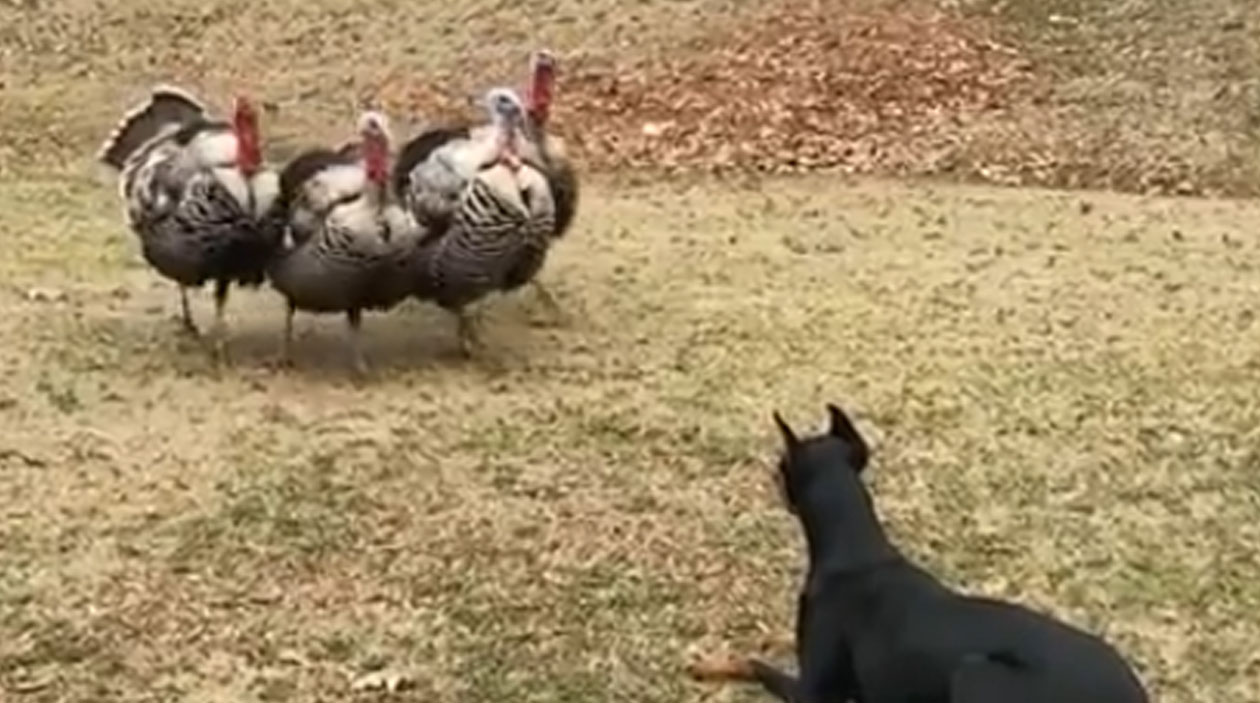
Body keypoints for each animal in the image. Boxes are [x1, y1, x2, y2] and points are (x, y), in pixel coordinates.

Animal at [745, 405, 1154, 703]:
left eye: (780, 467)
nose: (770, 476)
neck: (855, 551)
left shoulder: (812, 691)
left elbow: (754, 665)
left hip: (976, 674)